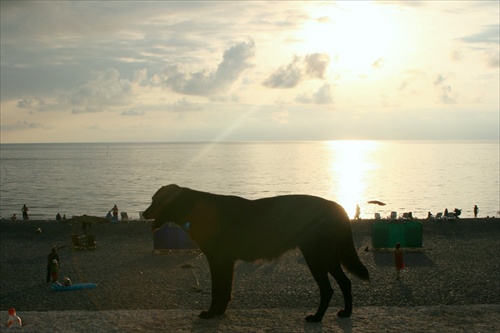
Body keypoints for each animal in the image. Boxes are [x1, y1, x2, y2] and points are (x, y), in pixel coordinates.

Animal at [143, 184, 370, 322]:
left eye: (156, 200)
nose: (144, 213)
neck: (195, 209)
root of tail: (338, 207)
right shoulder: (226, 261)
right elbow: (225, 290)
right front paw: (220, 313)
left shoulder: (217, 260)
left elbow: (217, 290)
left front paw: (211, 313)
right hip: (328, 257)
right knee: (345, 283)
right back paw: (346, 313)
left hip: (316, 257)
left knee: (328, 289)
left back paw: (316, 317)